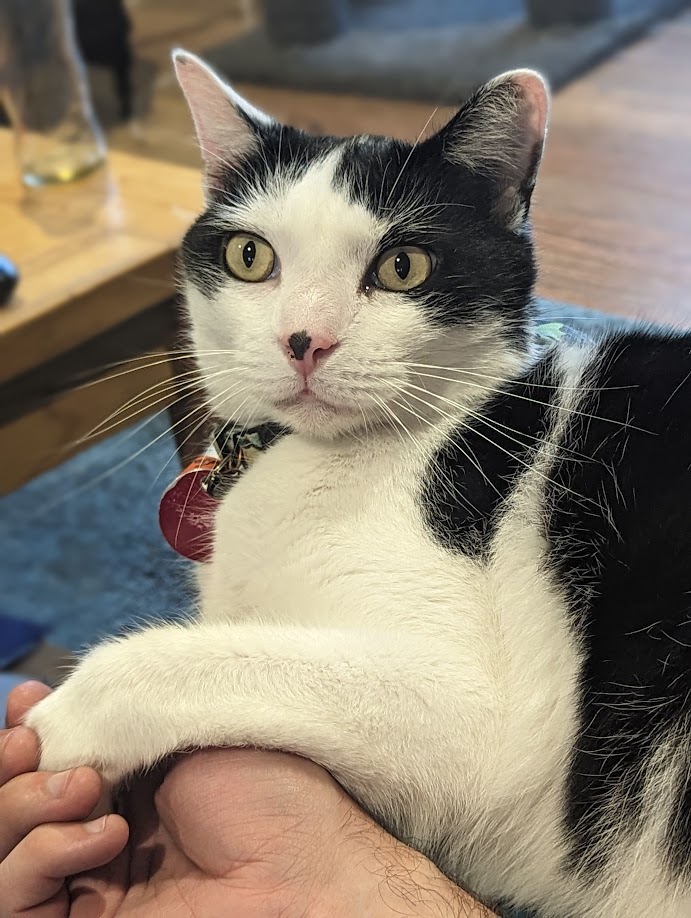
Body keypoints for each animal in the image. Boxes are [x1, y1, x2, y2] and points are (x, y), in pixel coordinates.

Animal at [23, 52, 691, 918]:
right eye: (249, 257)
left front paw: (50, 729)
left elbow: (193, 656)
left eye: (402, 267)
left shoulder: (484, 722)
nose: (303, 340)